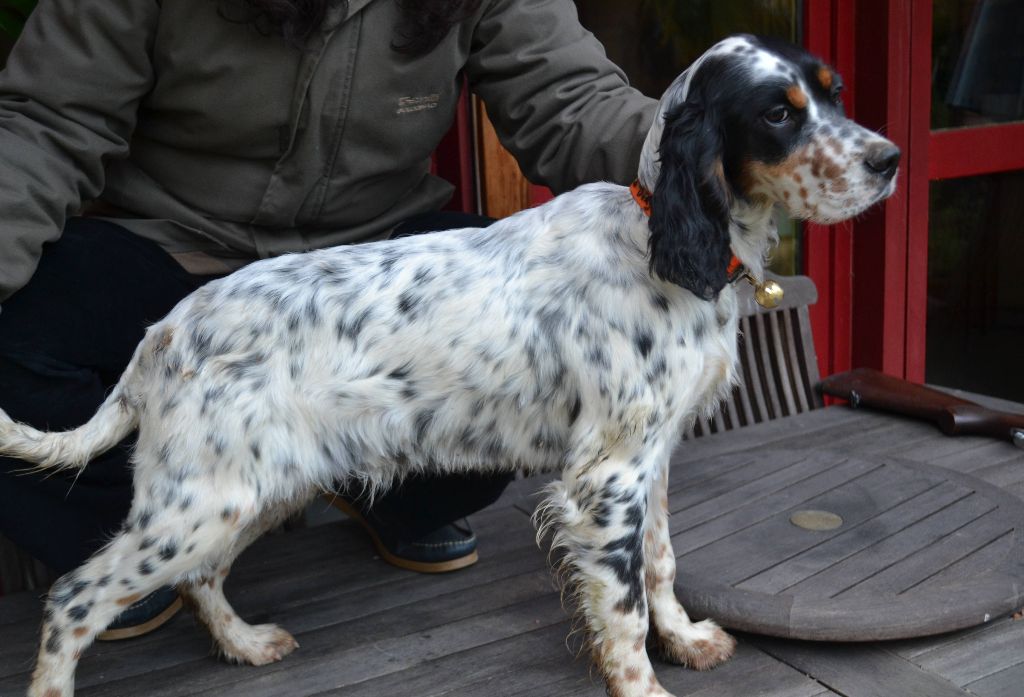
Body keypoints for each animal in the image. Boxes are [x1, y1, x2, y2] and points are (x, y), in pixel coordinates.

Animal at [2, 35, 897, 695]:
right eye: (778, 114)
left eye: (834, 93)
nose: (889, 160)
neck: (662, 244)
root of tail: (164, 333)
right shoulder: (607, 478)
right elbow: (622, 602)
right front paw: (645, 681)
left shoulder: (652, 457)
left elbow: (662, 563)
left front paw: (687, 637)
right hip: (201, 499)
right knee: (76, 596)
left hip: (251, 485)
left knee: (201, 578)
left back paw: (249, 643)